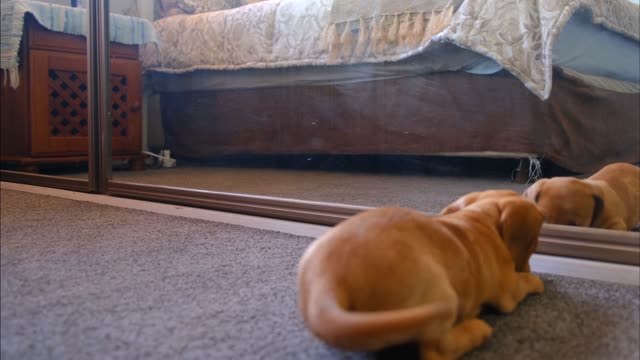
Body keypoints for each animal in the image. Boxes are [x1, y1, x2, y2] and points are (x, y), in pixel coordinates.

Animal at [298, 190, 544, 358]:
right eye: (535, 242)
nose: (527, 267)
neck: (479, 219)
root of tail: (326, 279)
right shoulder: (510, 291)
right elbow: (523, 283)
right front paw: (535, 280)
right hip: (437, 289)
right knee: (436, 349)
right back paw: (477, 330)